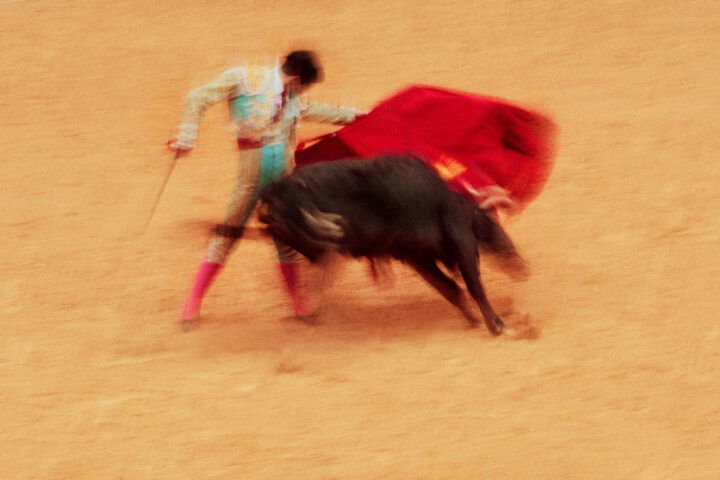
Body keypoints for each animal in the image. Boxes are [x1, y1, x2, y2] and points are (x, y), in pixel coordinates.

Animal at [256, 156, 524, 336]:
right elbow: (474, 288)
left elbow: (451, 289)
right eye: (494, 226)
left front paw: (475, 320)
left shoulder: (418, 257)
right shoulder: (461, 244)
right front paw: (498, 326)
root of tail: (278, 191)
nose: (522, 266)